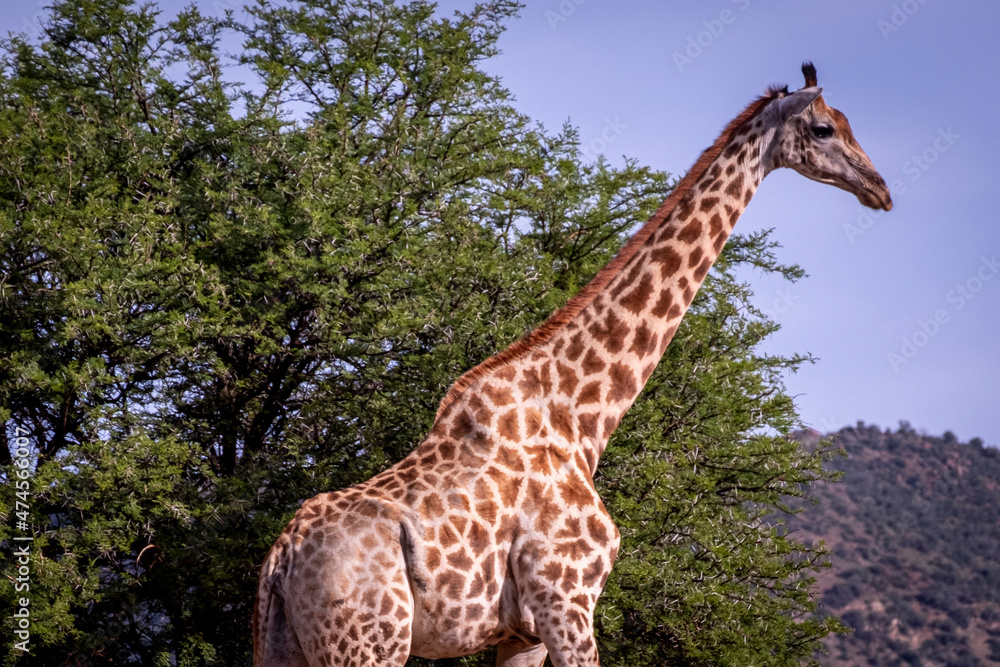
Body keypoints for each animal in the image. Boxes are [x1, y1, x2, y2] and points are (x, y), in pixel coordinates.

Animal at [253, 63, 892, 667]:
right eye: (823, 128)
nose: (880, 189)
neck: (583, 416)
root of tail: (281, 558)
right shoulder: (566, 601)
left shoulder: (521, 631)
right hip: (369, 642)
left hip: (285, 645)